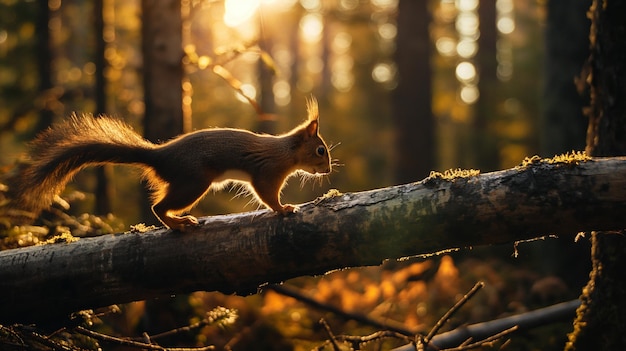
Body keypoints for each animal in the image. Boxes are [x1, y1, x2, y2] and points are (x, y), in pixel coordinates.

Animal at [9, 97, 332, 232]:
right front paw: (284, 208)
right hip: (193, 182)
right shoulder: (266, 172)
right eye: (320, 150)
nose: (328, 170)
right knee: (158, 207)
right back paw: (178, 223)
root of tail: (160, 155)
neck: (286, 152)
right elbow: (267, 196)